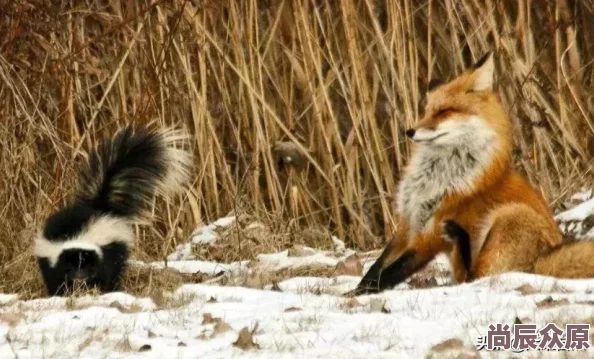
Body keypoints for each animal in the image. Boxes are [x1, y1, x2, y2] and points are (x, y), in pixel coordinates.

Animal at [34, 126, 192, 298]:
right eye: (72, 265)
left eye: (86, 264)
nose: (80, 276)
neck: (78, 236)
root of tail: (99, 206)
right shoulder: (50, 261)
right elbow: (56, 280)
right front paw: (59, 294)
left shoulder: (106, 254)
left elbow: (105, 274)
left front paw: (102, 290)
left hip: (119, 249)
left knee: (117, 271)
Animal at [350, 52, 592, 296]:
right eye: (426, 112)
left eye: (444, 111)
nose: (409, 131)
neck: (434, 177)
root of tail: (544, 259)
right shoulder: (407, 225)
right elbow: (375, 269)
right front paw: (358, 289)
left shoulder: (428, 237)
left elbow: (390, 273)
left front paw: (354, 295)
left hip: (510, 215)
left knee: (474, 278)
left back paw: (459, 237)